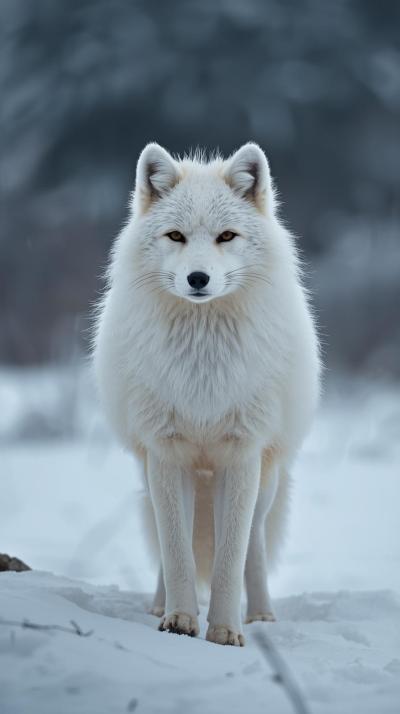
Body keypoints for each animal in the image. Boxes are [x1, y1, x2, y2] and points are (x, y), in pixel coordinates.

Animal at [93, 142, 320, 646]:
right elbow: (177, 551)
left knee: (253, 545)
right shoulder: (165, 452)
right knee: (168, 539)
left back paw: (261, 615)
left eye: (226, 236)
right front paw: (179, 620)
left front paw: (224, 631)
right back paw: (159, 604)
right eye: (176, 236)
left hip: (263, 483)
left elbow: (229, 559)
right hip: (158, 475)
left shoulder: (242, 454)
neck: (202, 366)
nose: (198, 278)